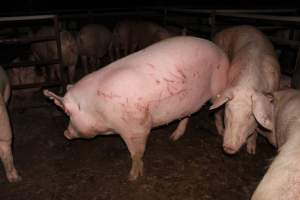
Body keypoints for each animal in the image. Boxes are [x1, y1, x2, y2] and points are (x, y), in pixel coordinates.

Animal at [43, 36, 229, 181]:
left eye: (68, 113)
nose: (65, 133)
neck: (99, 111)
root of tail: (220, 50)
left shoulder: (138, 127)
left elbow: (136, 153)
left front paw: (131, 178)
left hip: (218, 88)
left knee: (218, 110)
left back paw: (220, 133)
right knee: (186, 115)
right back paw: (173, 138)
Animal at [210, 25, 280, 155]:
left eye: (250, 116)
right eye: (228, 110)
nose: (229, 147)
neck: (247, 85)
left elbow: (257, 128)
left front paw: (251, 152)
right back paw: (220, 132)